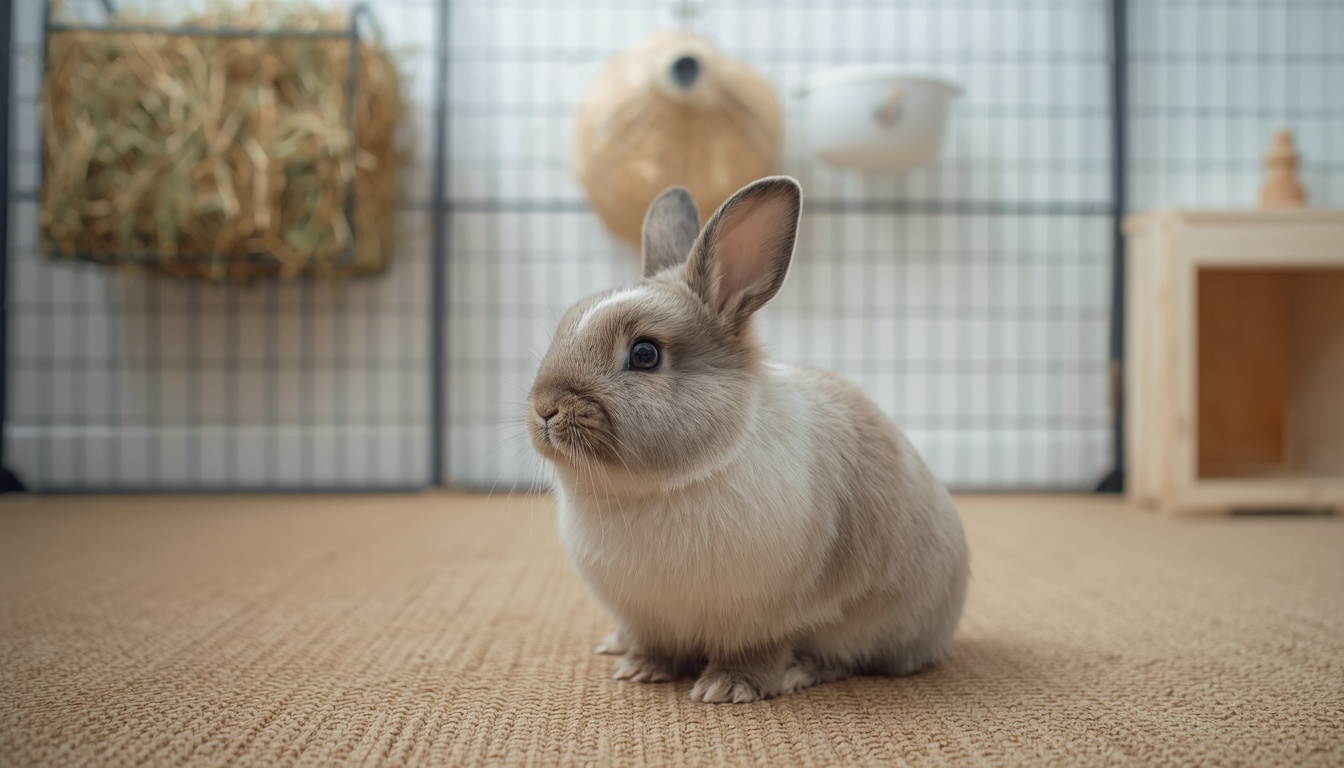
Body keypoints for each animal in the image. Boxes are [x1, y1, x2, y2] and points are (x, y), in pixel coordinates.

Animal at [527, 176, 969, 703]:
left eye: (645, 354)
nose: (544, 408)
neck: (660, 486)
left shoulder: (761, 618)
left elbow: (755, 652)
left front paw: (726, 688)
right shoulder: (649, 616)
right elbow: (655, 645)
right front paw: (640, 669)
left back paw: (801, 671)